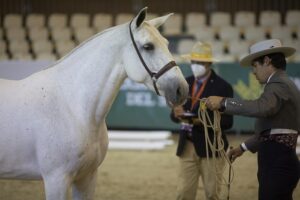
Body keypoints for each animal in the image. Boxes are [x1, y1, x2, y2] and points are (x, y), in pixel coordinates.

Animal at [0, 7, 188, 200]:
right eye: (148, 46)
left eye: (167, 43)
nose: (182, 89)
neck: (73, 108)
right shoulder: (56, 179)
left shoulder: (87, 177)